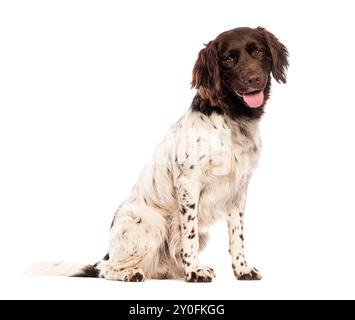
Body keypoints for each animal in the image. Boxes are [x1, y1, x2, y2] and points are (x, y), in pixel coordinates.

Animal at [33, 27, 290, 282]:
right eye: (228, 59)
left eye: (258, 51)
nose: (253, 79)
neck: (232, 118)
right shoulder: (189, 184)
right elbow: (189, 235)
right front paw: (194, 271)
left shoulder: (239, 190)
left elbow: (237, 236)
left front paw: (242, 269)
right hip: (151, 223)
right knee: (106, 269)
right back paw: (131, 274)